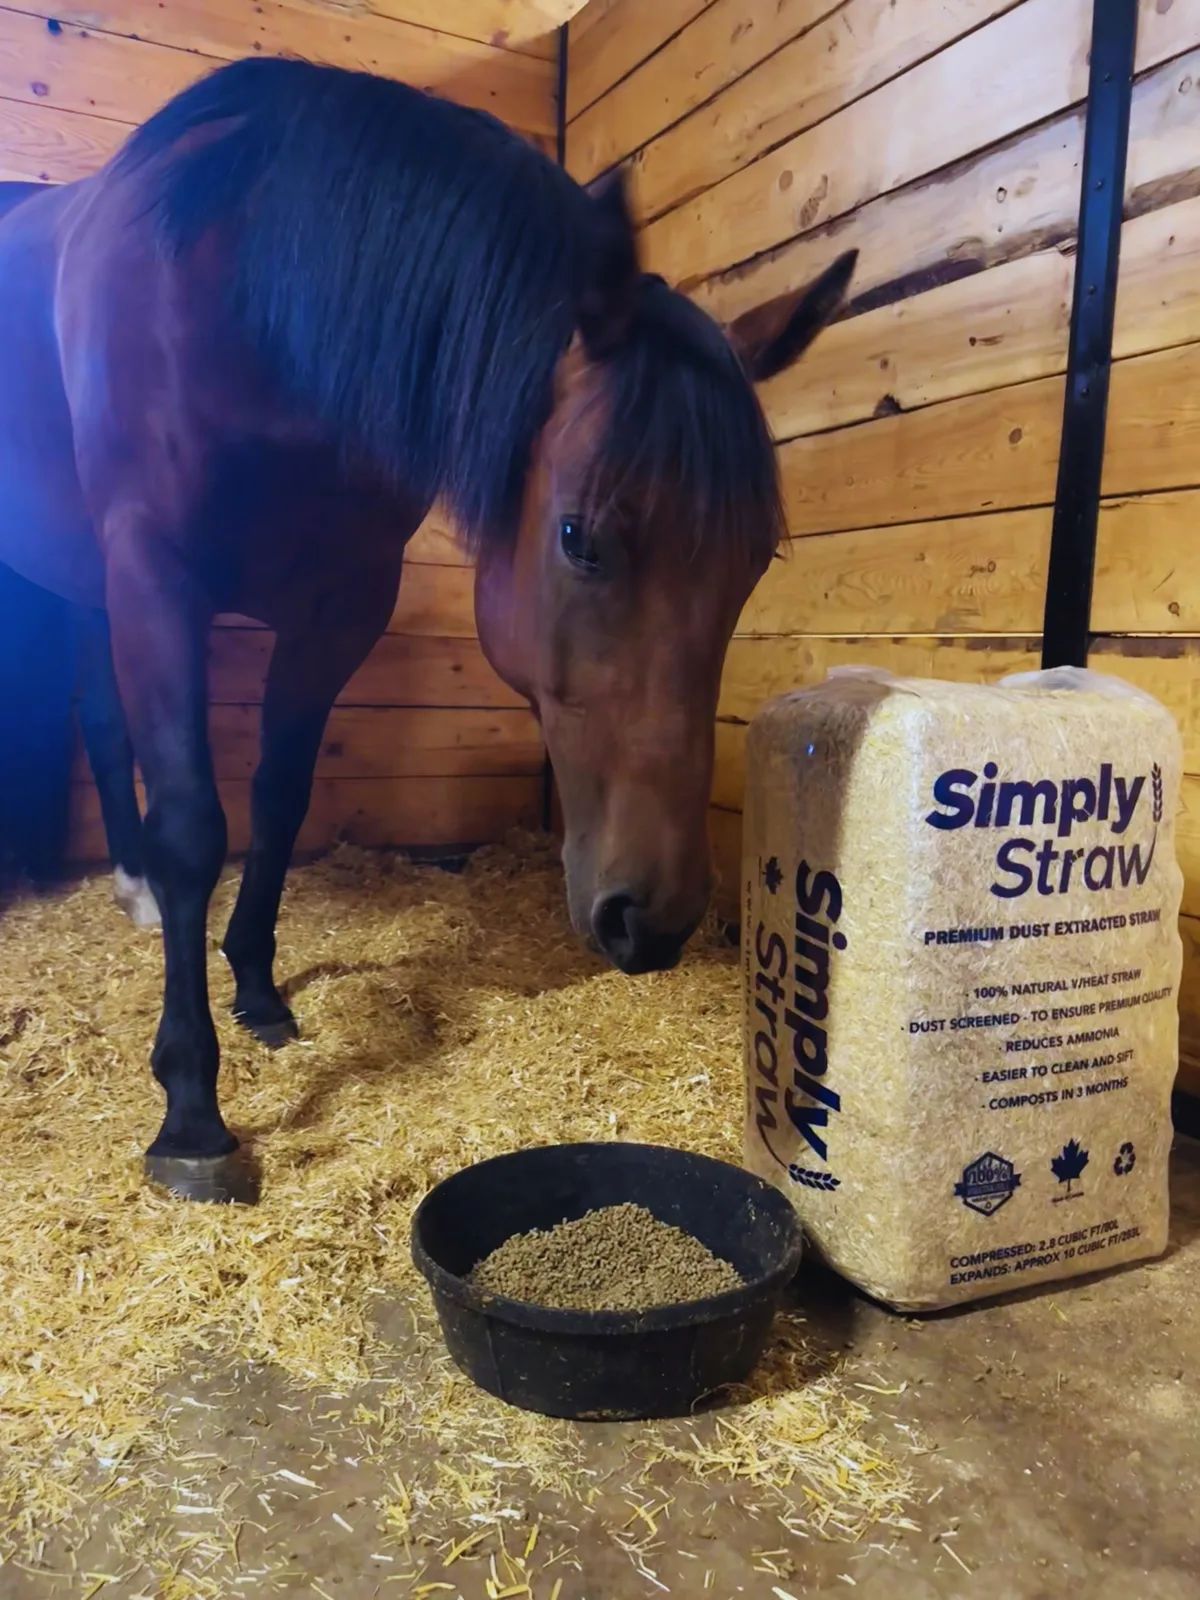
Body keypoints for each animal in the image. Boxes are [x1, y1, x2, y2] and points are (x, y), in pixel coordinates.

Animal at [0, 57, 854, 1202]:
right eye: (580, 536)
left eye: (753, 564)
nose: (656, 917)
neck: (244, 298)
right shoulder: (152, 571)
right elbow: (195, 828)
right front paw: (191, 1111)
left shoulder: (341, 605)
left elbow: (281, 799)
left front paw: (260, 991)